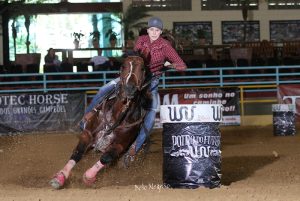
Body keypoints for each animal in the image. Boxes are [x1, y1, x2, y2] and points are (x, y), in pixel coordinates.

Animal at [49, 55, 152, 189]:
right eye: (123, 66)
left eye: (143, 68)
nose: (130, 88)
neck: (117, 116)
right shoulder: (88, 133)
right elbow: (78, 152)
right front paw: (60, 177)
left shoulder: (120, 145)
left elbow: (105, 158)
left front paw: (89, 177)